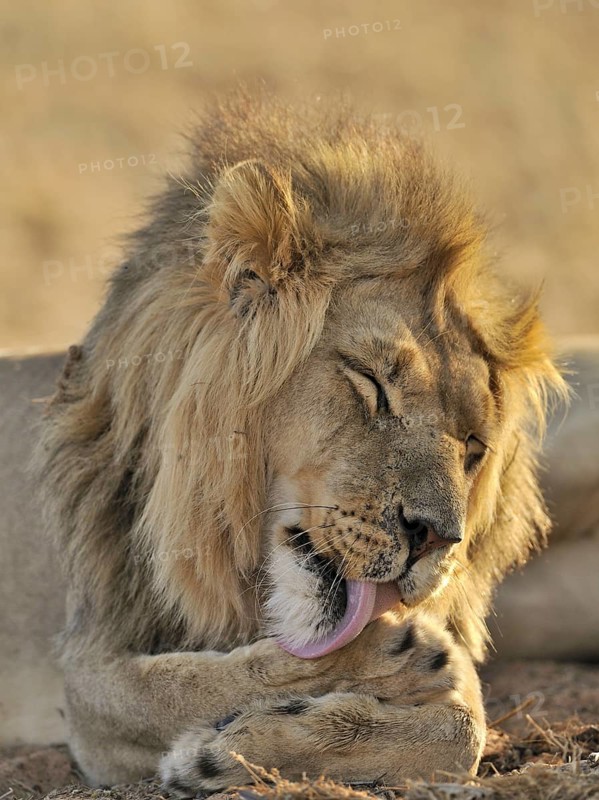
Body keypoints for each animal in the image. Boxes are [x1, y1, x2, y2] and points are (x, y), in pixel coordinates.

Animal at [30, 93, 570, 792]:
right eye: (372, 383)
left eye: (474, 447)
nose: (437, 539)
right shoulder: (87, 680)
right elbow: (187, 683)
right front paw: (388, 660)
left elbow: (463, 731)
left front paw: (229, 751)